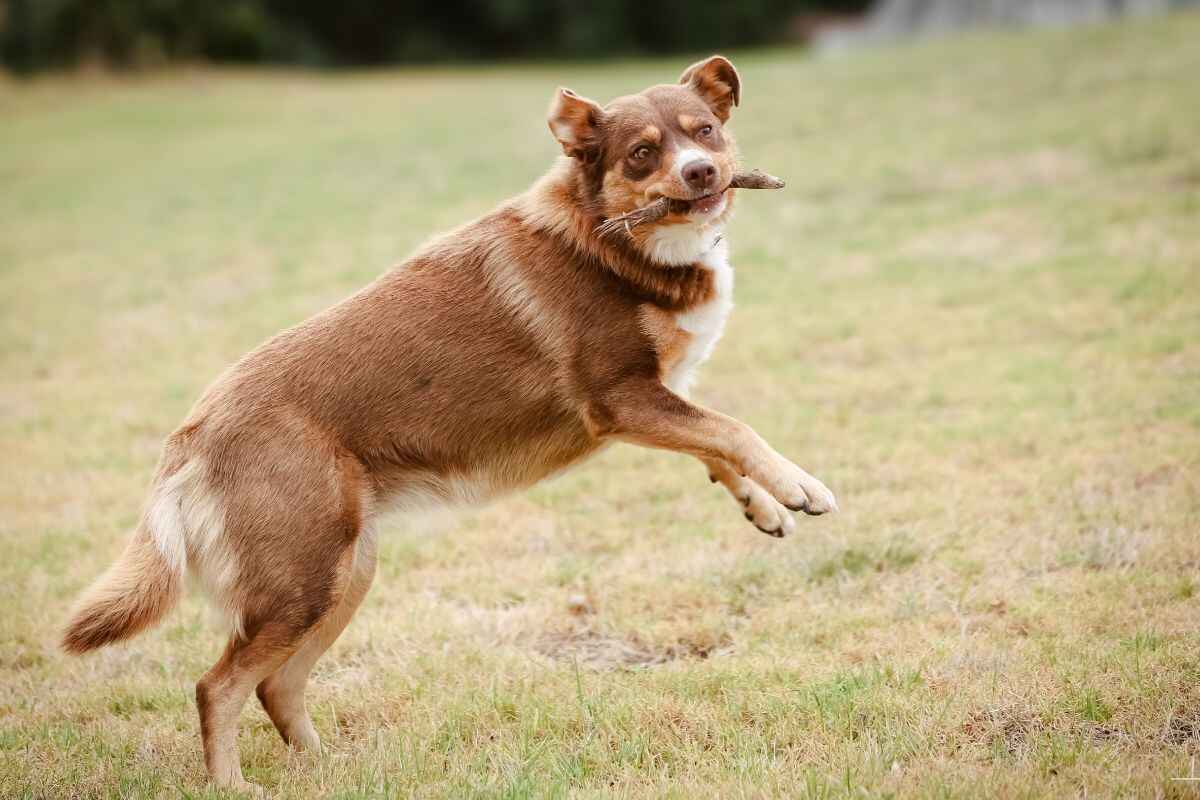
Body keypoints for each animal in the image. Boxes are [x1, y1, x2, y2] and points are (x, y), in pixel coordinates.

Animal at [63, 57, 835, 796]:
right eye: (643, 154)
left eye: (704, 131)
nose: (700, 172)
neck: (613, 240)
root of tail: (190, 435)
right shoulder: (620, 401)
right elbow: (733, 429)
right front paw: (800, 486)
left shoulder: (657, 399)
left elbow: (715, 443)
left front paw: (763, 505)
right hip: (303, 582)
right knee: (218, 686)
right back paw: (232, 785)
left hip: (343, 575)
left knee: (276, 684)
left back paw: (329, 769)